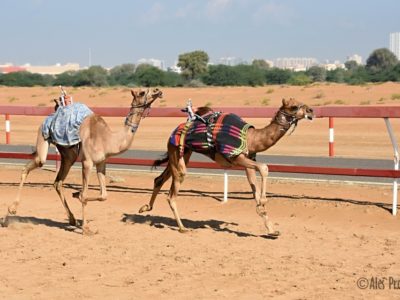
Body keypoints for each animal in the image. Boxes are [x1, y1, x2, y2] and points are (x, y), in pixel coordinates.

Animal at [3, 88, 162, 233]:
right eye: (142, 92)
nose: (158, 91)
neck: (107, 139)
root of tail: (53, 113)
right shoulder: (87, 162)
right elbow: (86, 194)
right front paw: (86, 227)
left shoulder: (101, 163)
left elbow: (104, 195)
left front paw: (76, 194)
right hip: (43, 134)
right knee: (33, 165)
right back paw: (11, 210)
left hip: (68, 155)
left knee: (58, 182)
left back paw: (72, 219)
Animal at [139, 98, 314, 237]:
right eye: (294, 106)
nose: (311, 111)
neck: (251, 138)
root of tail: (174, 130)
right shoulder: (235, 157)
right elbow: (264, 168)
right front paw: (264, 202)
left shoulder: (248, 160)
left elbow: (256, 189)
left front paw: (271, 229)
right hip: (178, 154)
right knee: (172, 193)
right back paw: (182, 228)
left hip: (181, 153)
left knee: (159, 179)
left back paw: (145, 208)